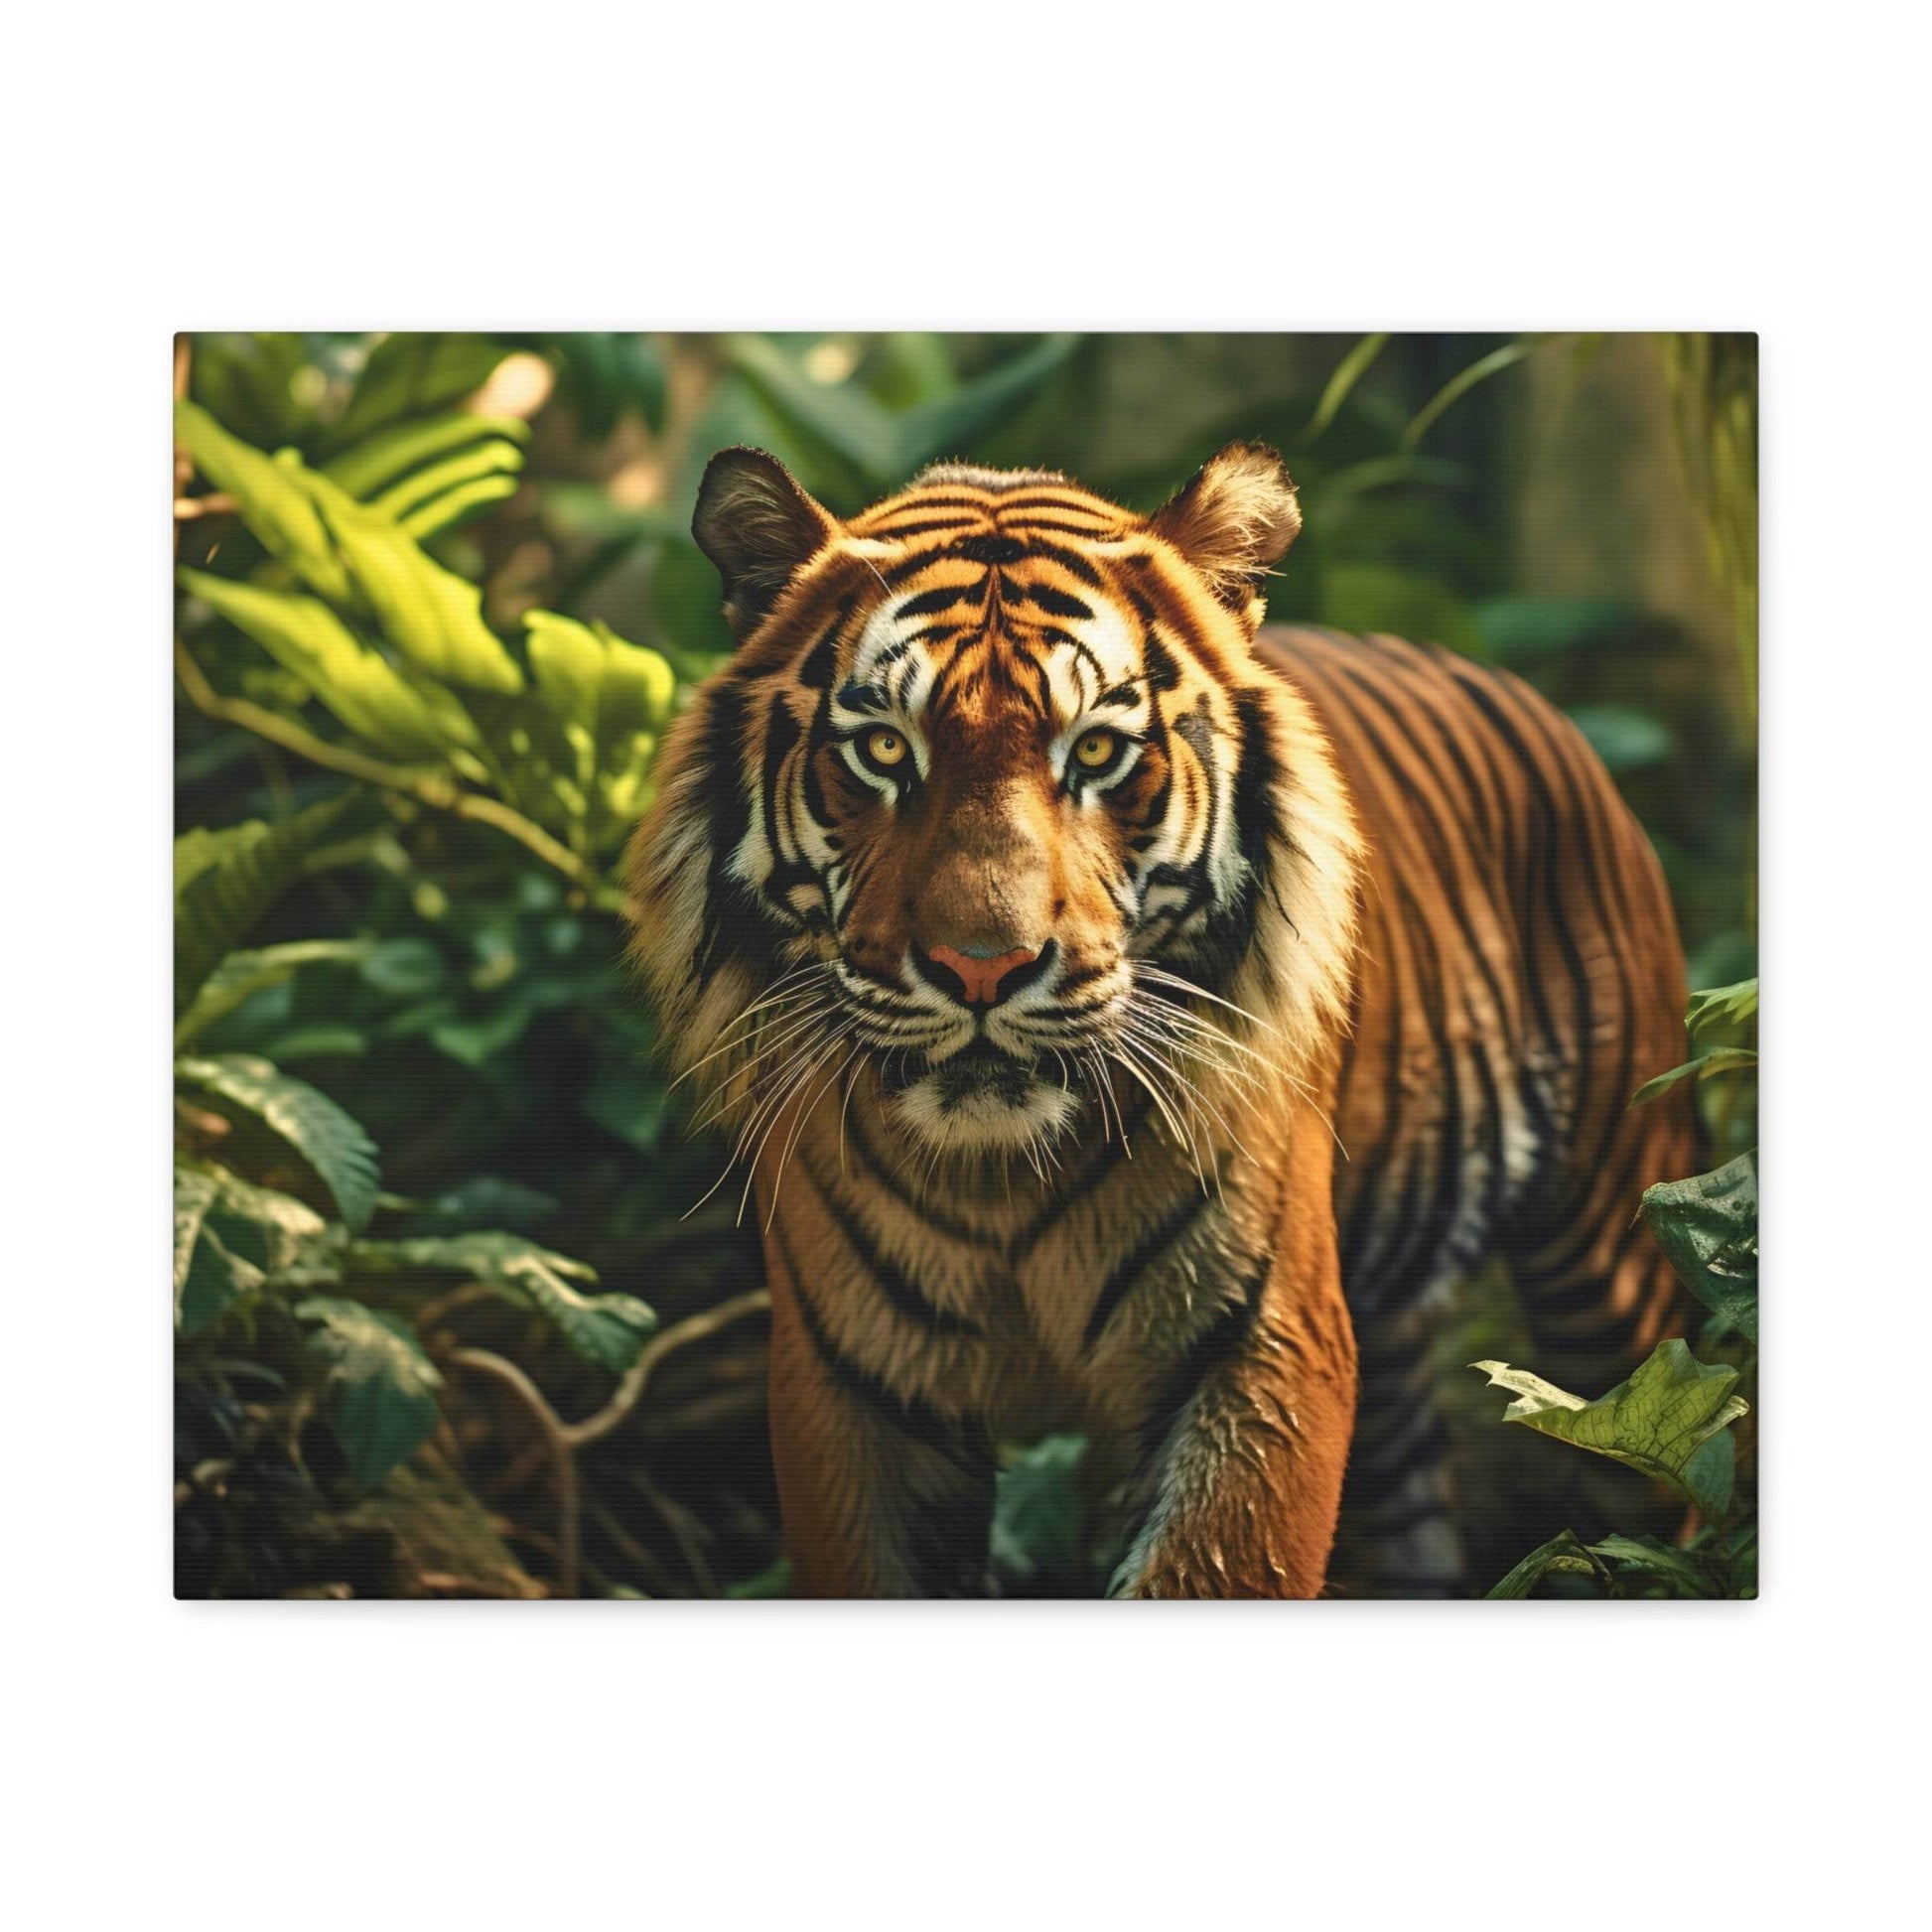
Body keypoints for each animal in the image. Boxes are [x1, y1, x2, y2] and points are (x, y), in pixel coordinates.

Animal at [623, 440, 1698, 1598]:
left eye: (1096, 753)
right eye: (882, 750)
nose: (981, 967)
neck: (1001, 1181)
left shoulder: (1258, 1348)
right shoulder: (853, 1387)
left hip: (1615, 1258)